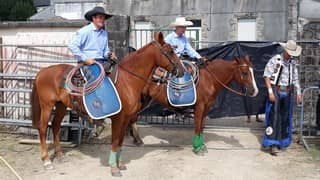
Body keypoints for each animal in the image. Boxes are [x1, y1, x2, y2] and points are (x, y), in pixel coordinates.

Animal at [31, 32, 185, 176]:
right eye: (170, 51)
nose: (182, 70)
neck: (127, 80)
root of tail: (42, 71)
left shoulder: (126, 118)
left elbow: (121, 141)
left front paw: (120, 164)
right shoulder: (119, 118)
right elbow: (115, 141)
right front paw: (114, 168)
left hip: (61, 105)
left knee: (56, 126)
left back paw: (59, 156)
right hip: (47, 106)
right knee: (43, 128)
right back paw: (47, 161)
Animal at [129, 55, 258, 155]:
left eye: (252, 71)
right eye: (245, 73)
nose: (254, 91)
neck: (209, 80)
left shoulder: (207, 107)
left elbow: (201, 126)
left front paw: (202, 146)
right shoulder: (199, 107)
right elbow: (197, 126)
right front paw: (197, 148)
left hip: (145, 99)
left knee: (133, 117)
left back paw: (136, 140)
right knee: (133, 116)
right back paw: (136, 139)